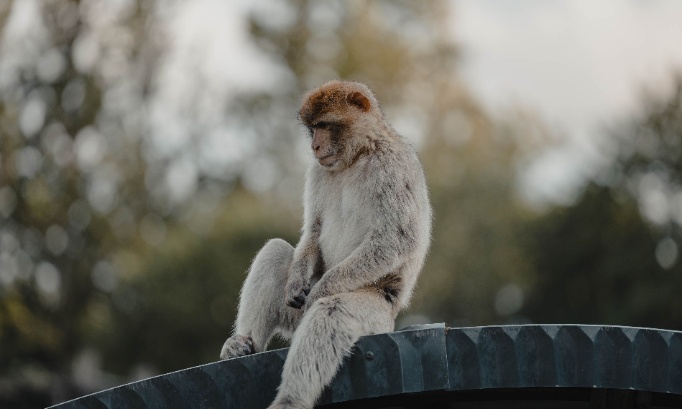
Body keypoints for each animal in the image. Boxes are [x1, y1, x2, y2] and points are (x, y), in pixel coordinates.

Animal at [219, 80, 432, 409]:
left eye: (323, 126)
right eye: (312, 129)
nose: (314, 147)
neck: (358, 155)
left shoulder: (391, 164)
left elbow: (396, 239)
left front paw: (320, 291)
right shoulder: (318, 170)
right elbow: (314, 229)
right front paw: (297, 281)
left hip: (377, 313)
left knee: (331, 311)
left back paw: (290, 400)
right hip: (293, 319)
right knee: (275, 252)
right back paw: (244, 343)